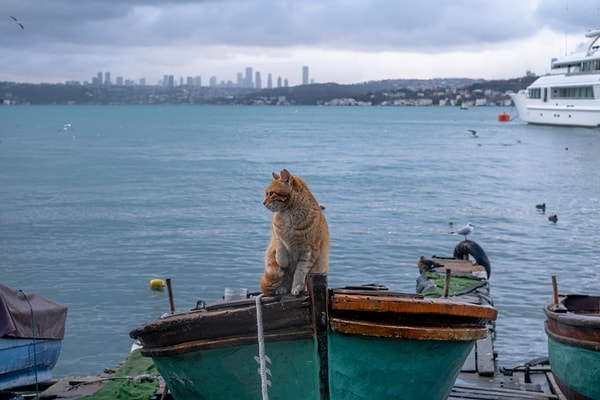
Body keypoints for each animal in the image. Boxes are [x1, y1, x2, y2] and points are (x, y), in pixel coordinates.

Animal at [260, 167, 330, 296]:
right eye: (266, 193)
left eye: (271, 193)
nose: (263, 202)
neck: (289, 215)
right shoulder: (277, 236)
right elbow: (281, 251)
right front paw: (282, 262)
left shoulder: (309, 252)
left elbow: (299, 272)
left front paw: (297, 287)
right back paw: (282, 288)